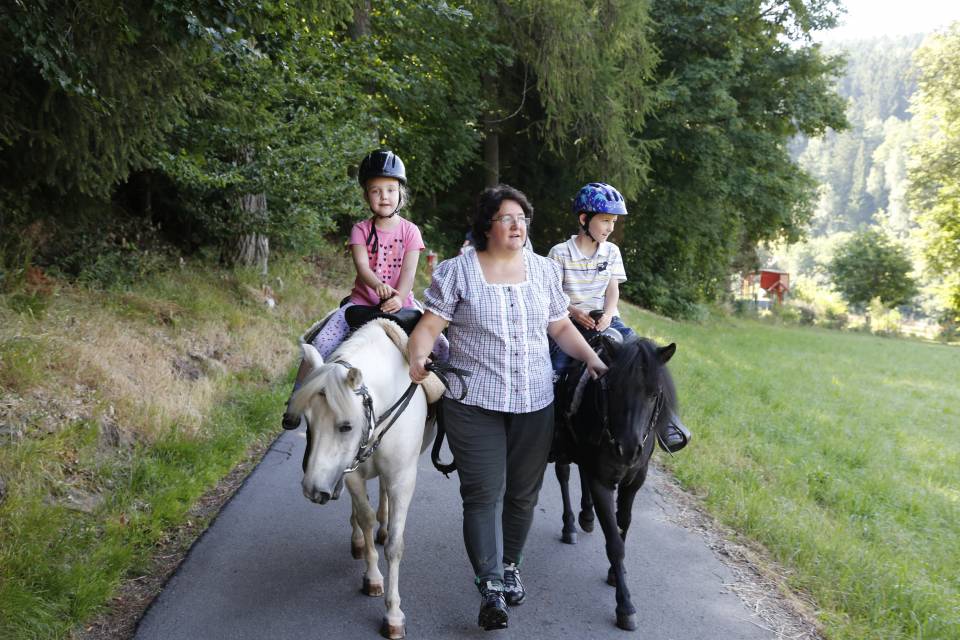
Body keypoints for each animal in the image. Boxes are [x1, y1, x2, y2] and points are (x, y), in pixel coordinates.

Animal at [284, 320, 436, 640]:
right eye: (307, 421)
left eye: (346, 426)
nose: (312, 490)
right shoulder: (352, 475)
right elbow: (364, 518)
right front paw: (373, 577)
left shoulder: (403, 478)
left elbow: (395, 545)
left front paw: (393, 615)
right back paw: (358, 540)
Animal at [552, 332, 680, 632]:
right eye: (613, 389)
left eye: (654, 394)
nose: (629, 449)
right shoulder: (602, 480)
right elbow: (614, 542)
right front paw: (625, 606)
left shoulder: (634, 480)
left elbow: (623, 525)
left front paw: (614, 573)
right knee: (564, 474)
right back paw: (570, 525)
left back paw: (586, 516)